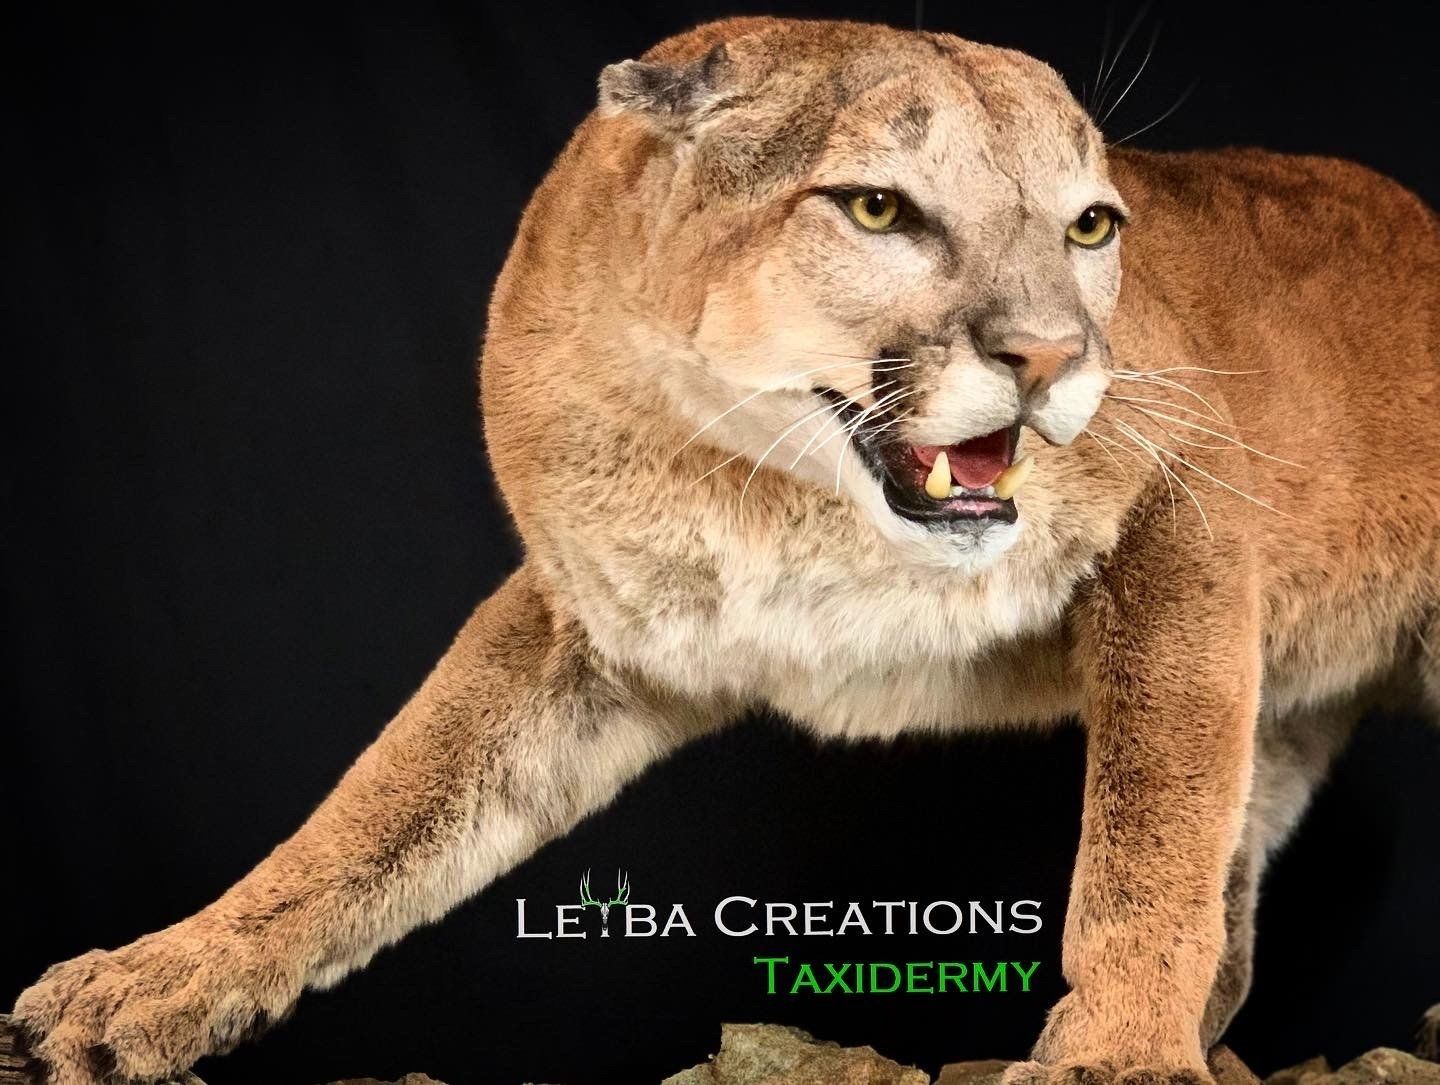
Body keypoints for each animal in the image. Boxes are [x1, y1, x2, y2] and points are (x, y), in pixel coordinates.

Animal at [13, 16, 1439, 1085]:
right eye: (878, 208)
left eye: (1091, 227)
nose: (1051, 356)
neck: (762, 489)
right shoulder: (589, 621)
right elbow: (381, 805)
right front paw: (154, 981)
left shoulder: (1185, 505)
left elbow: (1151, 825)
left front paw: (1118, 1056)